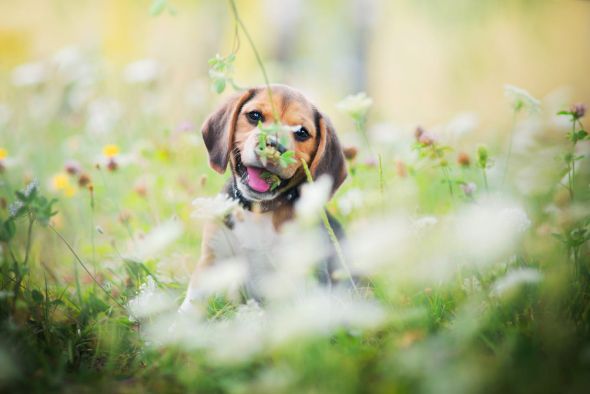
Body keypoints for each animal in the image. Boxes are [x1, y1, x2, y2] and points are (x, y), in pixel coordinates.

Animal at [183, 84, 350, 310]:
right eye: (254, 116)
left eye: (302, 133)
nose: (274, 146)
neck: (259, 211)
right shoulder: (211, 260)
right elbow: (190, 304)